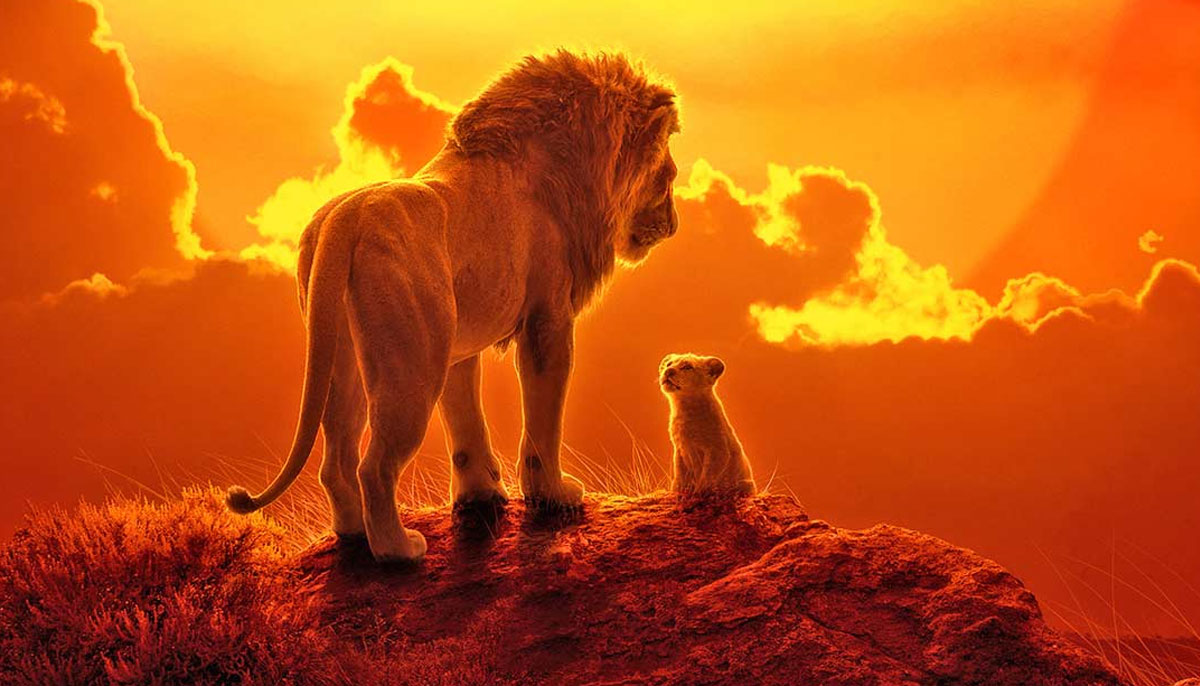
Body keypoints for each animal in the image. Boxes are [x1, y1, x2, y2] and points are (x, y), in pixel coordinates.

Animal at [226, 50, 681, 562]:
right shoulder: (547, 319)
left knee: (337, 459)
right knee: (374, 467)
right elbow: (543, 419)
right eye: (668, 178)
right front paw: (554, 495)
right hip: (412, 366)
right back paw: (398, 550)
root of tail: (346, 219)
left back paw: (354, 534)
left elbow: (465, 422)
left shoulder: (458, 344)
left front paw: (481, 495)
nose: (674, 225)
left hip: (344, 357)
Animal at [659, 354, 755, 495]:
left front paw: (699, 492)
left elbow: (708, 474)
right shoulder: (679, 449)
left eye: (687, 367)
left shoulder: (717, 449)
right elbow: (680, 472)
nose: (668, 371)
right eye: (669, 364)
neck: (683, 408)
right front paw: (679, 490)